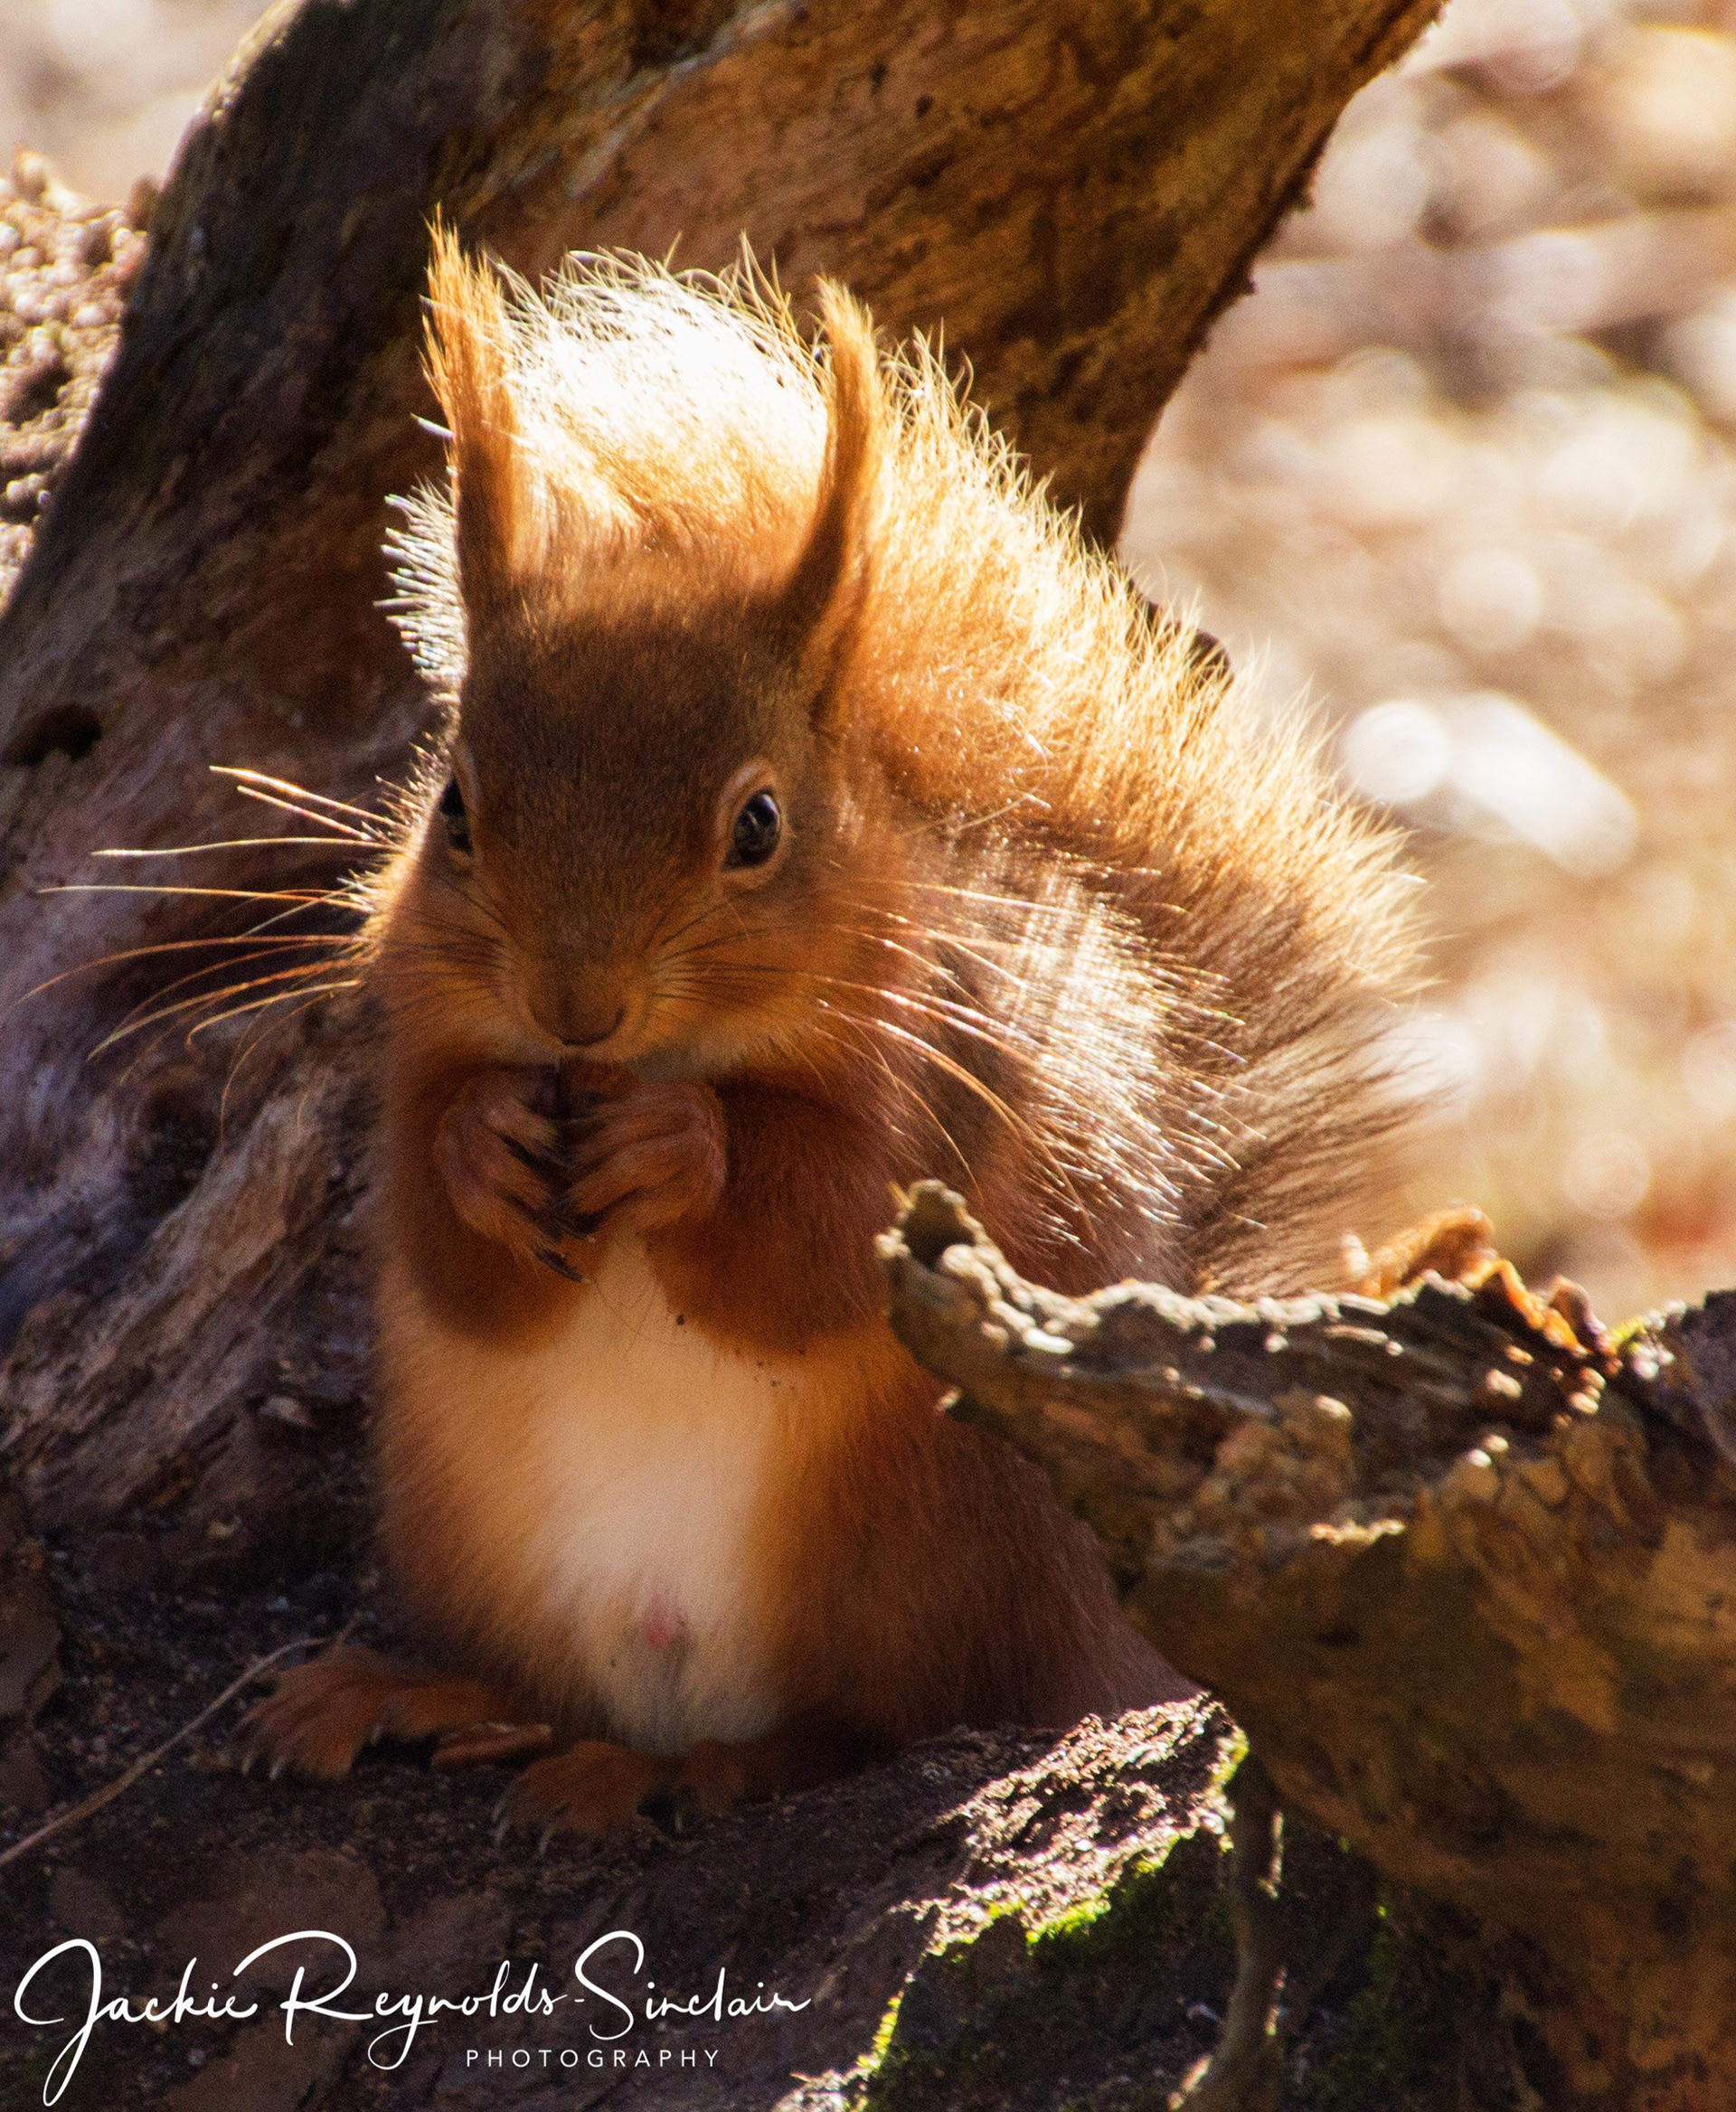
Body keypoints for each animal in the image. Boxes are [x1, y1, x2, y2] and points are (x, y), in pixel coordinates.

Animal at [238, 230, 1418, 1836]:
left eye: (759, 825)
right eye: (456, 811)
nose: (575, 1009)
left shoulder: (948, 1088)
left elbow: (821, 1248)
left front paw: (687, 1146)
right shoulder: (420, 1049)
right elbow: (440, 1240)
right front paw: (485, 1142)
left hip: (925, 1553)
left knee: (863, 1728)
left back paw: (680, 1768)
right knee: (546, 1686)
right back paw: (418, 1694)